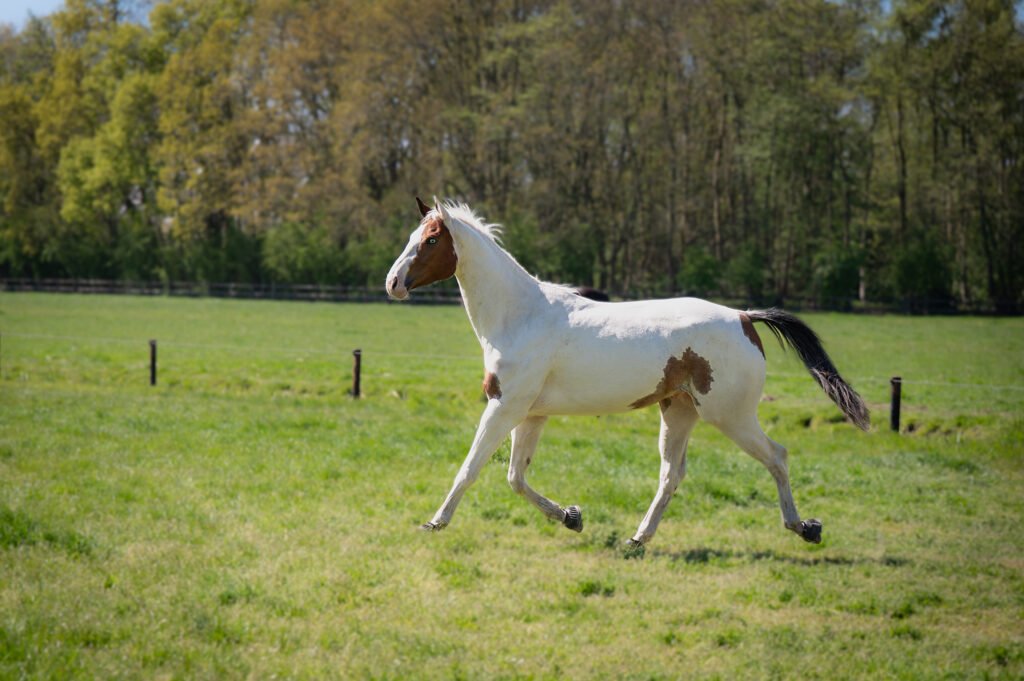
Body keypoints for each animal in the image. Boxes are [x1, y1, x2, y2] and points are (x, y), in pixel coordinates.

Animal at [386, 197, 869, 549]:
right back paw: (637, 539)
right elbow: (516, 478)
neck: (520, 317)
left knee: (777, 457)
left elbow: (470, 468)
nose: (392, 283)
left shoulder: (504, 407)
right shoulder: (531, 414)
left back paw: (805, 528)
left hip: (730, 416)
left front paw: (434, 523)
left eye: (432, 240)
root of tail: (744, 317)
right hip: (679, 412)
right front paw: (573, 518)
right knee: (671, 476)